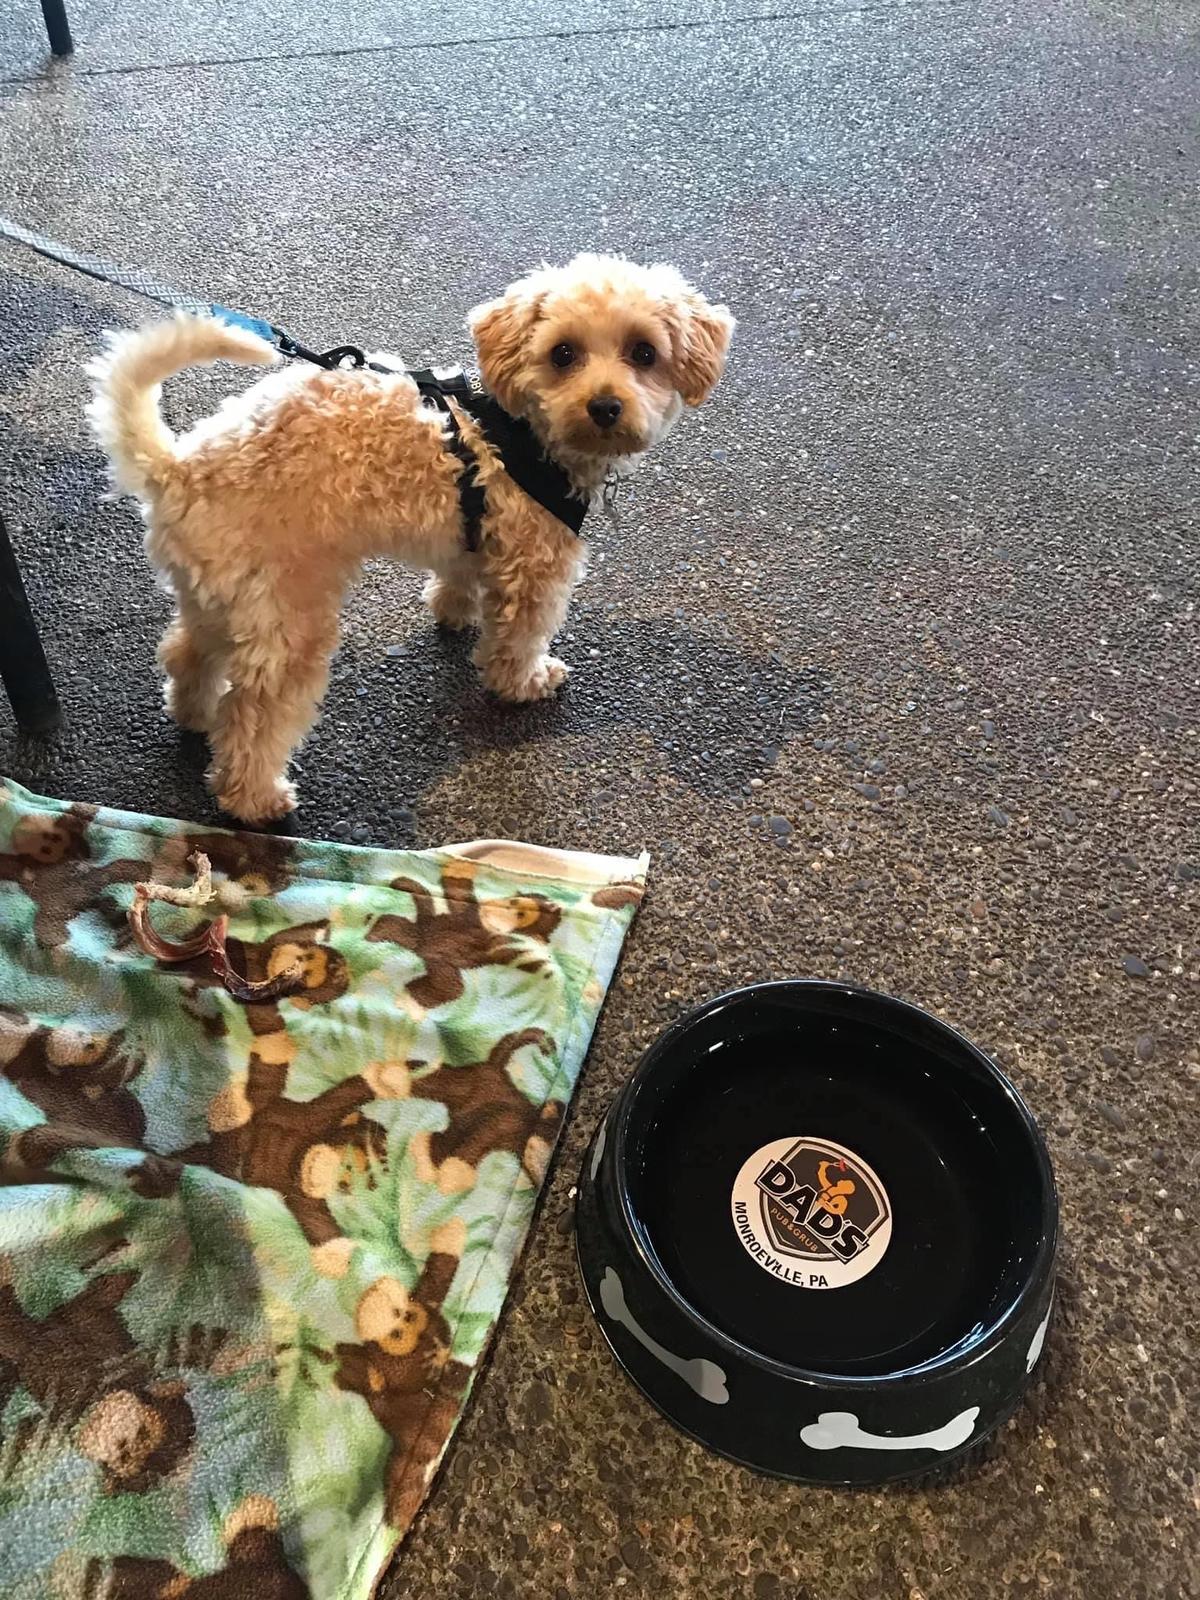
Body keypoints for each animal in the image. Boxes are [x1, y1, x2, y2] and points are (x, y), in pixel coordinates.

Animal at [87, 254, 734, 824]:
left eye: (644, 353)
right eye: (563, 353)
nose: (605, 406)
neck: (515, 430)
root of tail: (179, 468)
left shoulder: (475, 533)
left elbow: (460, 578)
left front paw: (455, 612)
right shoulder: (536, 564)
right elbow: (520, 635)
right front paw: (524, 681)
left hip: (223, 596)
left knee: (185, 654)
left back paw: (193, 714)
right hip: (290, 617)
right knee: (252, 714)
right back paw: (255, 798)